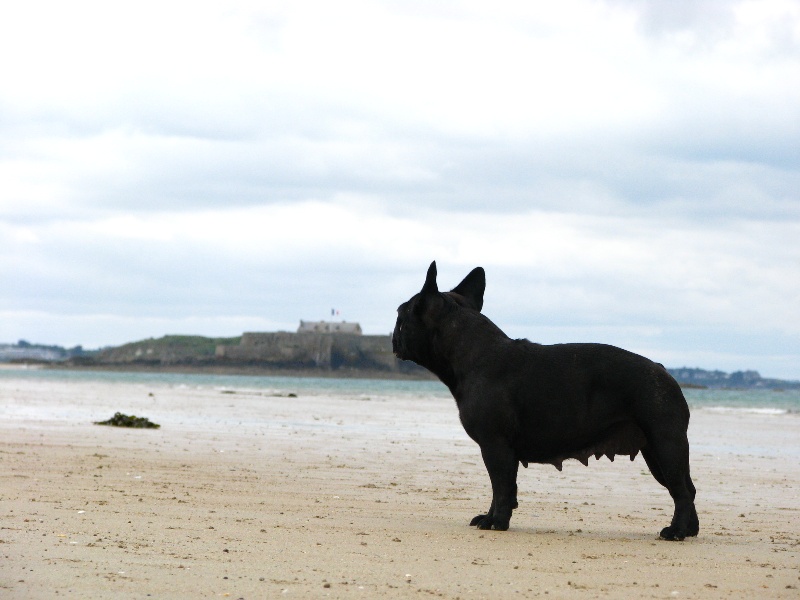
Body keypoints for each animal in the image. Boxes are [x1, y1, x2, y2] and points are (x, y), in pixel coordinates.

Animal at [394, 260, 700, 540]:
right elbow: (502, 487)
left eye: (400, 315)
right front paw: (491, 517)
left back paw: (675, 531)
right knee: (686, 488)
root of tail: (663, 371)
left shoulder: (495, 445)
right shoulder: (500, 449)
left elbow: (500, 486)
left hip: (665, 444)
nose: (393, 334)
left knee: (681, 491)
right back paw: (690, 530)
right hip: (655, 451)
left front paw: (497, 523)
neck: (470, 352)